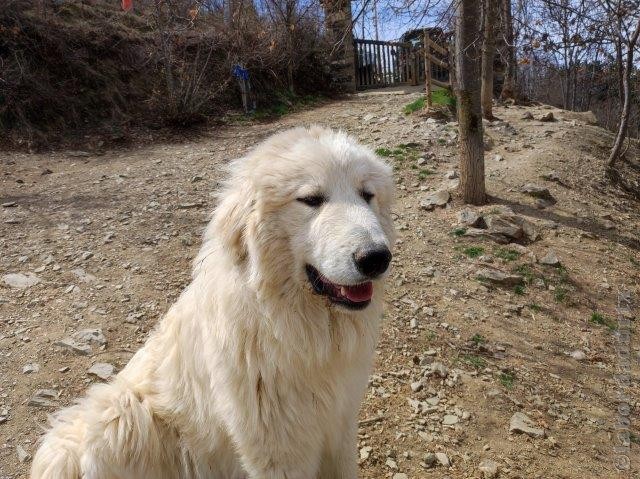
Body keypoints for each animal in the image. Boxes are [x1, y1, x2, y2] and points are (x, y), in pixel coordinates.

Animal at [32, 126, 398, 479]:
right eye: (311, 199)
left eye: (367, 195)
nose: (376, 258)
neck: (287, 324)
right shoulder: (277, 449)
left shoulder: (340, 425)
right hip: (115, 416)